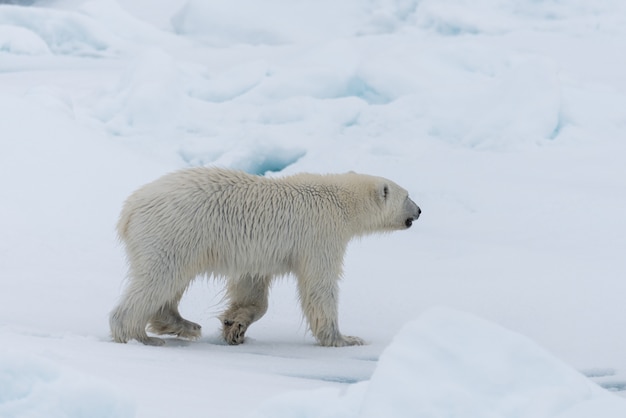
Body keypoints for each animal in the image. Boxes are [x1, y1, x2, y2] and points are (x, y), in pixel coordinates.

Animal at [109, 167, 420, 346]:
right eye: (407, 195)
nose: (418, 211)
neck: (338, 201)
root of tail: (129, 210)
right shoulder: (320, 234)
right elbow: (319, 286)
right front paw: (345, 338)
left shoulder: (255, 255)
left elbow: (252, 289)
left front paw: (235, 325)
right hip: (173, 232)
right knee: (159, 278)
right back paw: (140, 336)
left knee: (171, 282)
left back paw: (183, 324)